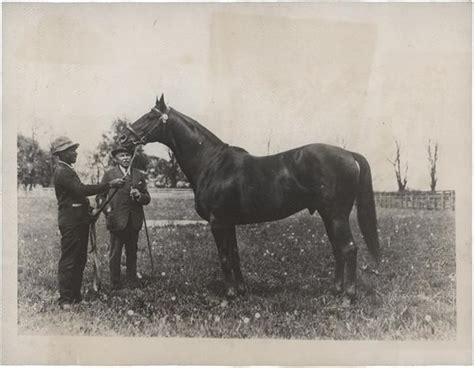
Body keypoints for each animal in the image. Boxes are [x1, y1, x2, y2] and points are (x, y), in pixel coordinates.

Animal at [120, 95, 380, 302]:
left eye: (150, 116)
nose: (123, 138)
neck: (211, 163)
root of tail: (349, 154)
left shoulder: (218, 222)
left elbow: (225, 257)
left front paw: (229, 296)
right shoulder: (229, 223)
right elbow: (235, 255)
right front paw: (242, 291)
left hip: (336, 216)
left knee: (348, 248)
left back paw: (347, 297)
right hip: (329, 216)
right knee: (338, 249)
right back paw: (336, 290)